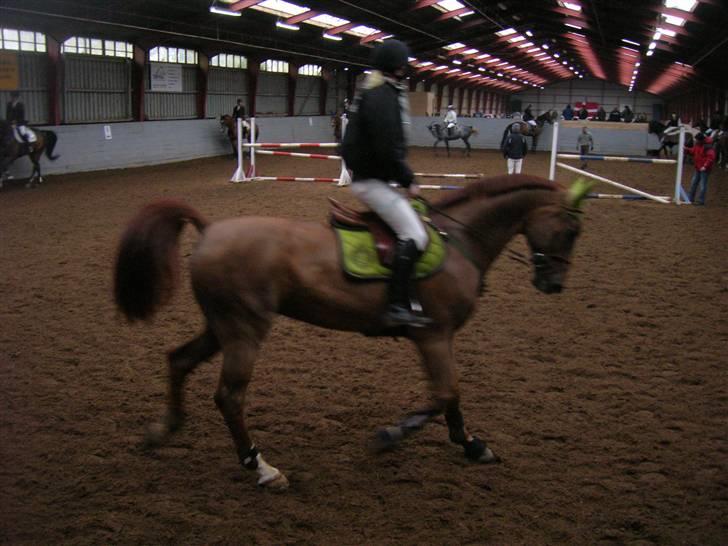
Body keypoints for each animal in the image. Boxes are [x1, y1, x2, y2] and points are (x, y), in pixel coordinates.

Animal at [112, 174, 592, 488]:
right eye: (570, 229)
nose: (553, 284)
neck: (458, 241)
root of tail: (211, 229)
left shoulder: (440, 338)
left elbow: (452, 397)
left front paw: (472, 446)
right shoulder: (434, 335)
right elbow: (446, 393)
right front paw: (390, 436)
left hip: (221, 326)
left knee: (179, 360)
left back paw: (163, 430)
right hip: (244, 329)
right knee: (229, 396)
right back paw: (261, 468)